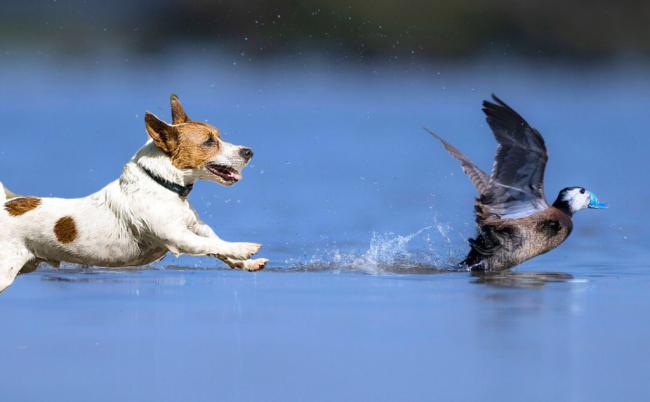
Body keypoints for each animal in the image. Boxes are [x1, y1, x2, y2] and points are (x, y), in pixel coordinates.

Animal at [0, 94, 266, 292]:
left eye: (219, 135)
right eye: (209, 142)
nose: (249, 151)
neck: (161, 183)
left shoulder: (195, 228)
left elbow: (216, 243)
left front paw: (248, 263)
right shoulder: (178, 237)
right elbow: (209, 245)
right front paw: (245, 248)